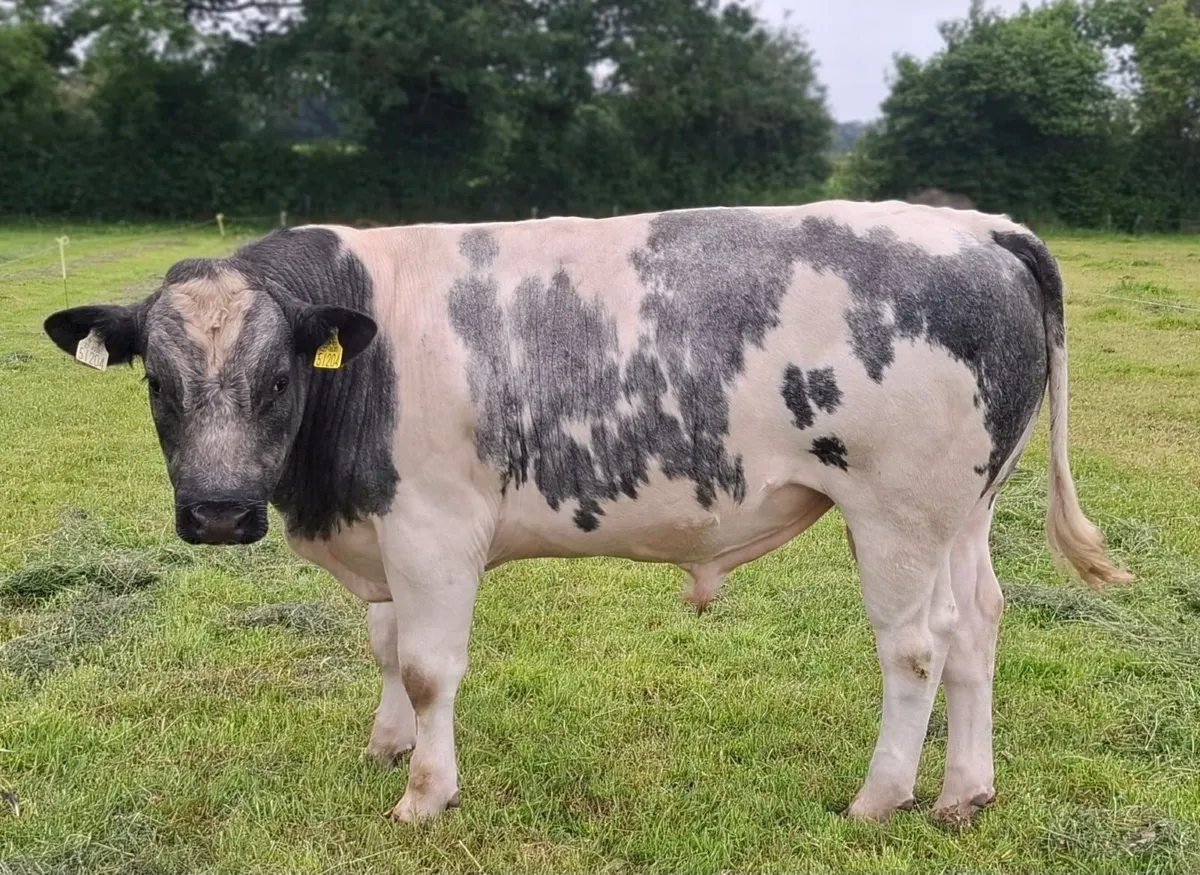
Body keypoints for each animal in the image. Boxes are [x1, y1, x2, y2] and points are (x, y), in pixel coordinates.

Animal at [43, 200, 1131, 827]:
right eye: (158, 382)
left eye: (276, 378)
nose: (220, 511)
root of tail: (981, 227)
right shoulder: (383, 534)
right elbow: (386, 646)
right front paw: (387, 743)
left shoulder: (434, 528)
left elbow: (430, 667)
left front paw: (423, 793)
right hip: (965, 507)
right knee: (978, 627)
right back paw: (964, 790)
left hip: (896, 510)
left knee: (914, 647)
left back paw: (881, 796)